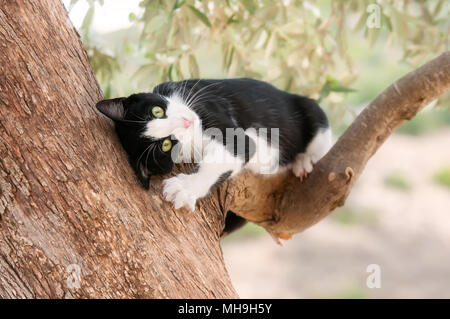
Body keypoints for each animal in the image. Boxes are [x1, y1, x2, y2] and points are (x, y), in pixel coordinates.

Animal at [96, 78, 332, 218]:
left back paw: (304, 161)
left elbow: (228, 153)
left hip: (312, 112)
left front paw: (185, 187)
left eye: (156, 111)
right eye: (165, 145)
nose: (186, 122)